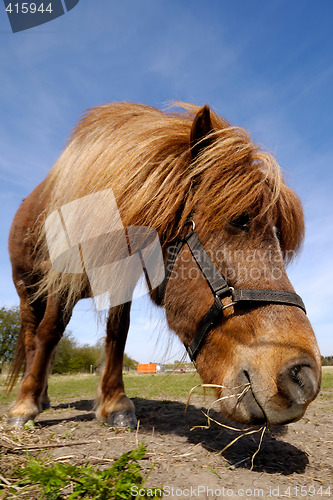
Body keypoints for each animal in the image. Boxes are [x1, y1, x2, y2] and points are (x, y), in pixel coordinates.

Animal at [7, 103, 320, 428]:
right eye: (238, 220)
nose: (304, 379)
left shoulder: (123, 278)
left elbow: (118, 333)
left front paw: (115, 403)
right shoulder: (62, 277)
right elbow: (49, 332)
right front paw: (24, 405)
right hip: (26, 292)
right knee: (32, 338)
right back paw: (34, 397)